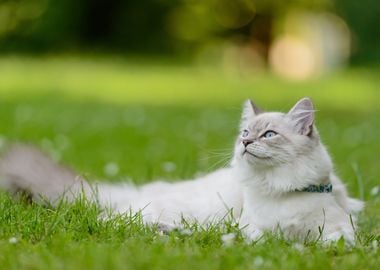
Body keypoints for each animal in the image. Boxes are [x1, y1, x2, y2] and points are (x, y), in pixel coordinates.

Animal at [0, 98, 362, 244]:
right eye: (246, 133)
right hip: (199, 210)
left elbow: (334, 241)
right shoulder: (252, 229)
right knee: (114, 218)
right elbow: (265, 239)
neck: (279, 189)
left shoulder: (342, 229)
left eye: (269, 135)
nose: (245, 143)